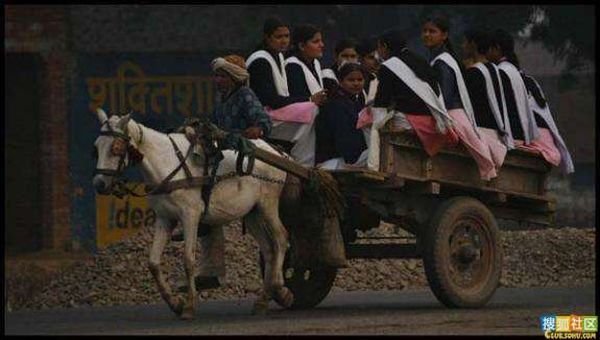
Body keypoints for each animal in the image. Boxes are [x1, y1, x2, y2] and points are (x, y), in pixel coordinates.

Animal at [91, 109, 292, 318]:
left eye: (116, 147)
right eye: (96, 147)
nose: (99, 183)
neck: (167, 164)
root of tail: (279, 153)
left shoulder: (190, 216)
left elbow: (188, 260)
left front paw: (189, 305)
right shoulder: (164, 218)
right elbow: (153, 262)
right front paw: (175, 303)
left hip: (268, 204)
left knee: (280, 238)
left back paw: (279, 287)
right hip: (253, 213)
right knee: (268, 249)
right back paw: (265, 298)